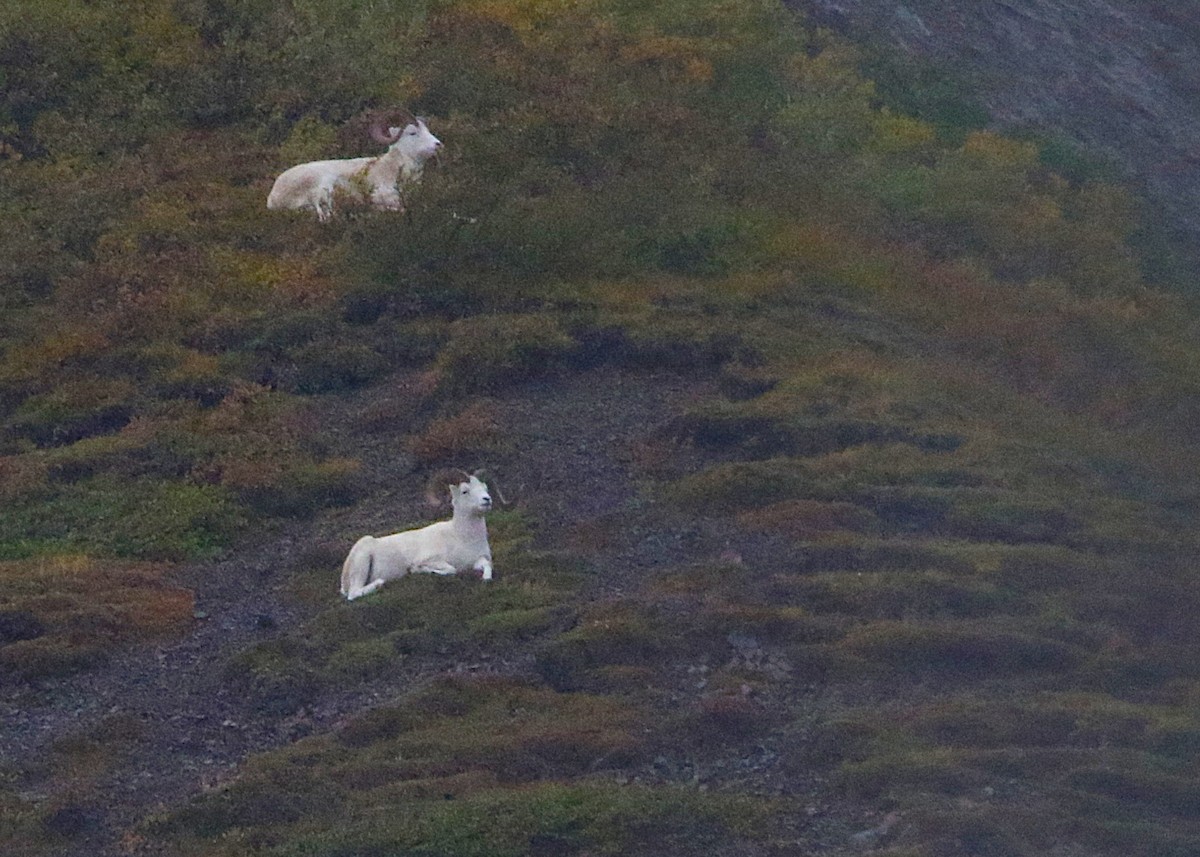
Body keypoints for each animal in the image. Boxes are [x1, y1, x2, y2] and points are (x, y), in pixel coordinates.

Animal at [340, 469, 499, 601]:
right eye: (465, 491)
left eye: (485, 488)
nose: (487, 499)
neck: (463, 538)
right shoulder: (430, 560)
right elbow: (451, 569)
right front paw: (416, 570)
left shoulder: (478, 560)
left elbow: (487, 566)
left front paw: (486, 579)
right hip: (361, 564)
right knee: (354, 594)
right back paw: (379, 583)